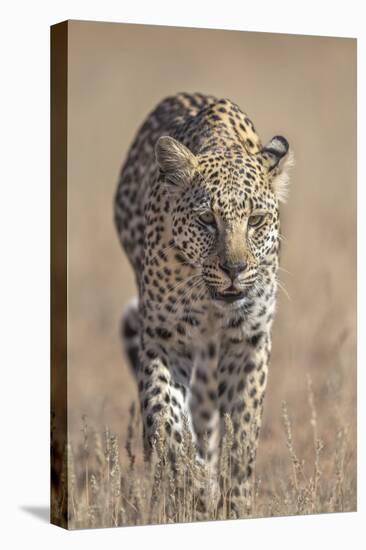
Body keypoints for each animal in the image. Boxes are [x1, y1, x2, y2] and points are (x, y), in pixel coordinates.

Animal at [113, 90, 294, 516]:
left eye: (256, 220)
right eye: (207, 220)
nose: (234, 269)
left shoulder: (248, 339)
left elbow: (241, 433)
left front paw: (234, 503)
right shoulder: (164, 337)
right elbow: (166, 419)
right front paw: (187, 487)